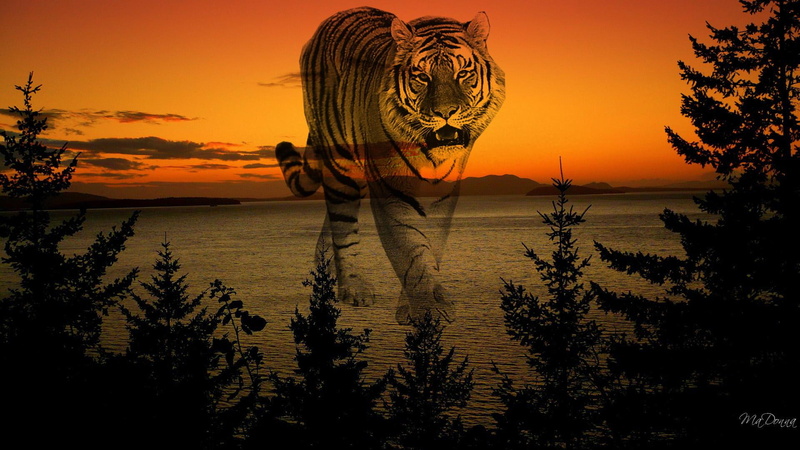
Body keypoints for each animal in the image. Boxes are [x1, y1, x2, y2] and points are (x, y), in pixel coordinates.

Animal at [276, 7, 505, 324]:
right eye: (422, 76)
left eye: (463, 74)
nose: (445, 112)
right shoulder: (391, 188)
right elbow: (408, 247)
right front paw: (427, 309)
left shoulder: (444, 193)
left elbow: (431, 245)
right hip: (342, 166)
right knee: (342, 226)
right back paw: (353, 288)